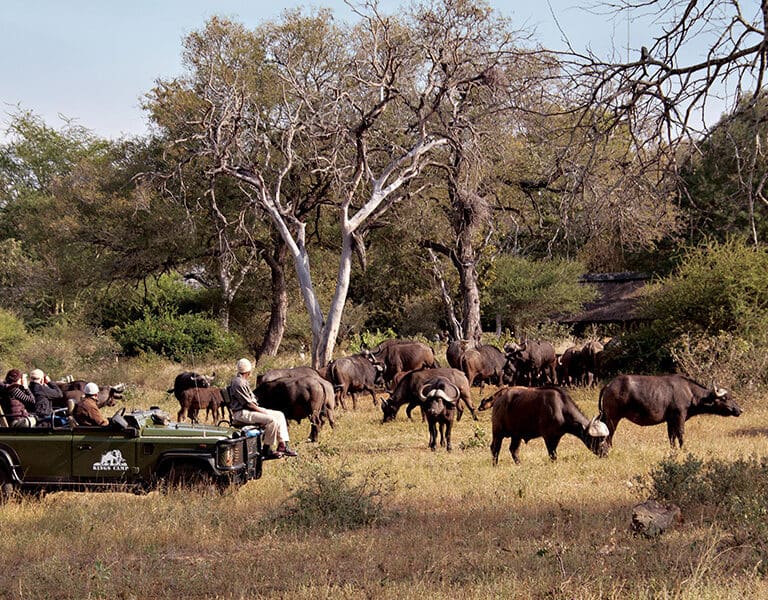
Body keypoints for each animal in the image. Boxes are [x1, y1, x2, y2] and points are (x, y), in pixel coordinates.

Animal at [598, 374, 743, 451]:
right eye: (725, 398)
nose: (740, 410)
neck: (690, 394)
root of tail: (609, 385)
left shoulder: (670, 421)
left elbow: (671, 437)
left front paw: (673, 450)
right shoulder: (679, 417)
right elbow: (681, 434)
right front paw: (684, 449)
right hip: (613, 418)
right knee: (609, 434)